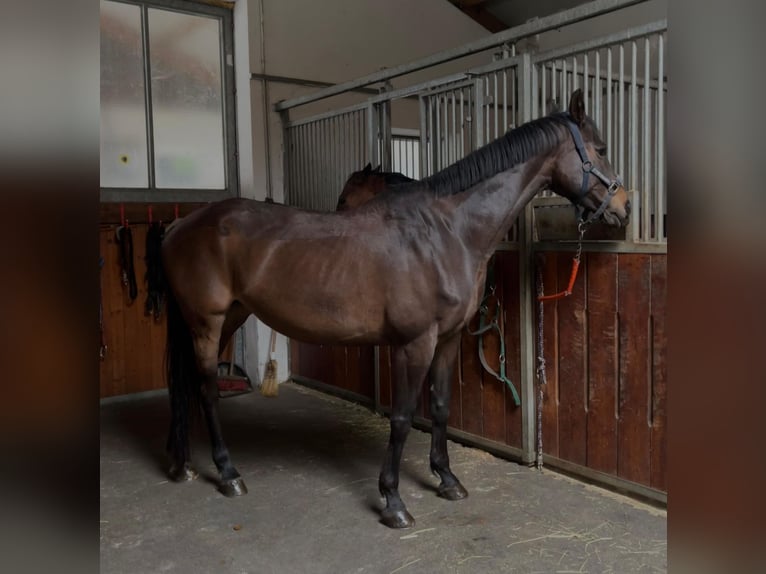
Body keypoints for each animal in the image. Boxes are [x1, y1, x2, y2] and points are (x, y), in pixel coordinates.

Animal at [160, 91, 632, 532]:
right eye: (602, 148)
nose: (624, 207)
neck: (446, 232)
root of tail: (181, 225)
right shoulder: (414, 343)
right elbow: (403, 417)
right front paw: (393, 501)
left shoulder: (448, 339)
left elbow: (440, 406)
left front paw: (447, 480)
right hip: (207, 323)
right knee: (206, 390)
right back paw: (227, 473)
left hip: (230, 317)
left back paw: (184, 465)